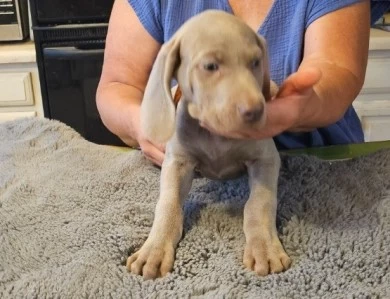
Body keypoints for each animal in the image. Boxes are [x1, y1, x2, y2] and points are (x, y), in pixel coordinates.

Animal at [126, 9, 290, 282]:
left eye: (256, 62)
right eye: (211, 66)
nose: (256, 111)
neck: (217, 135)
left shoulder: (265, 159)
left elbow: (260, 202)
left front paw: (264, 246)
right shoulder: (178, 161)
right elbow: (168, 203)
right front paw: (154, 249)